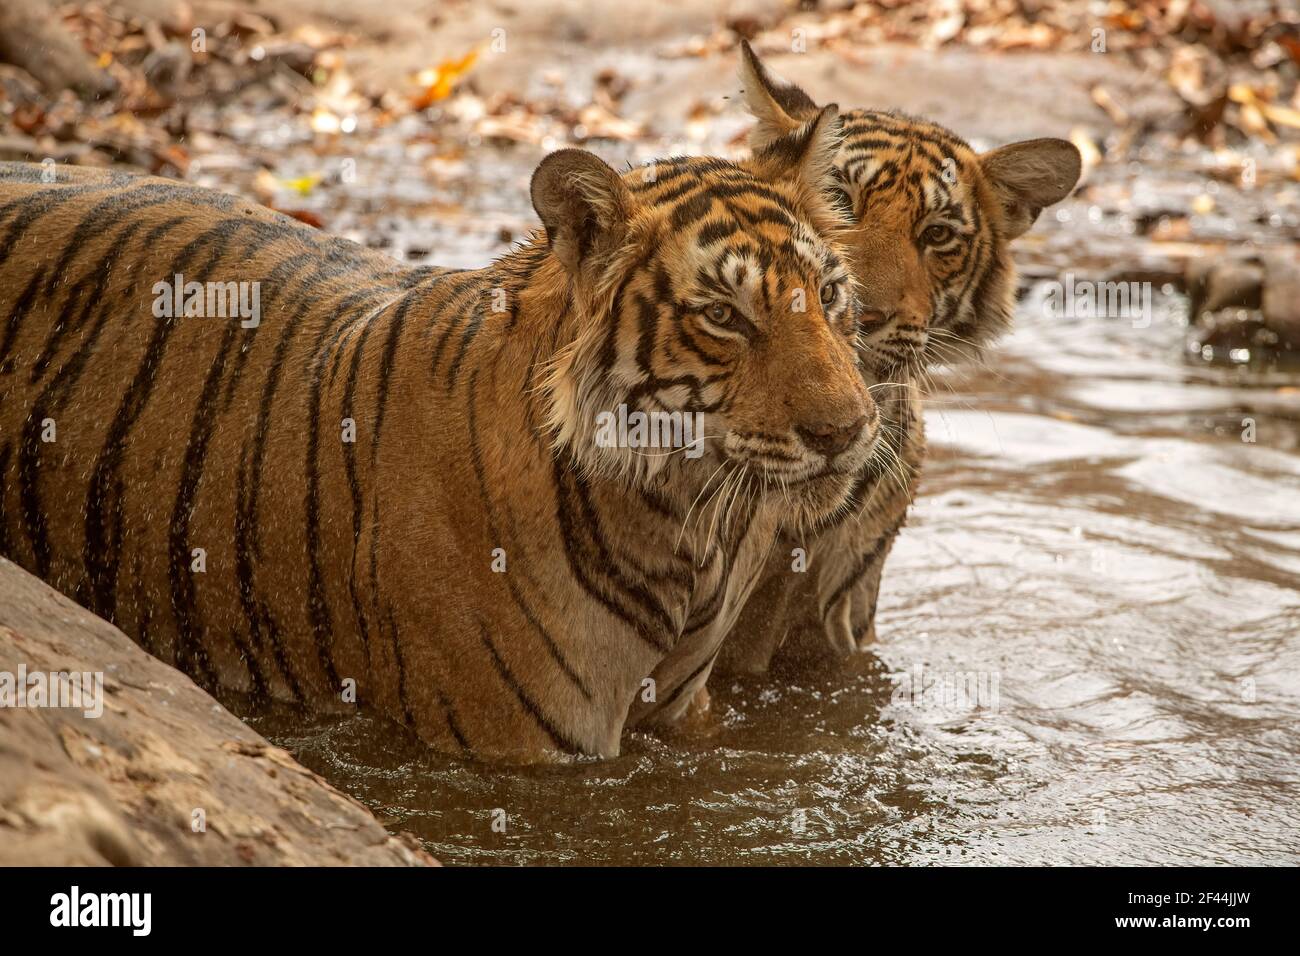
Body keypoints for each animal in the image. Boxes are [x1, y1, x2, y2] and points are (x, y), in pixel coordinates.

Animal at [0, 104, 883, 764]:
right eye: (724, 317)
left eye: (830, 294)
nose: (848, 430)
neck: (682, 524)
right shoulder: (515, 742)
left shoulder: (686, 715)